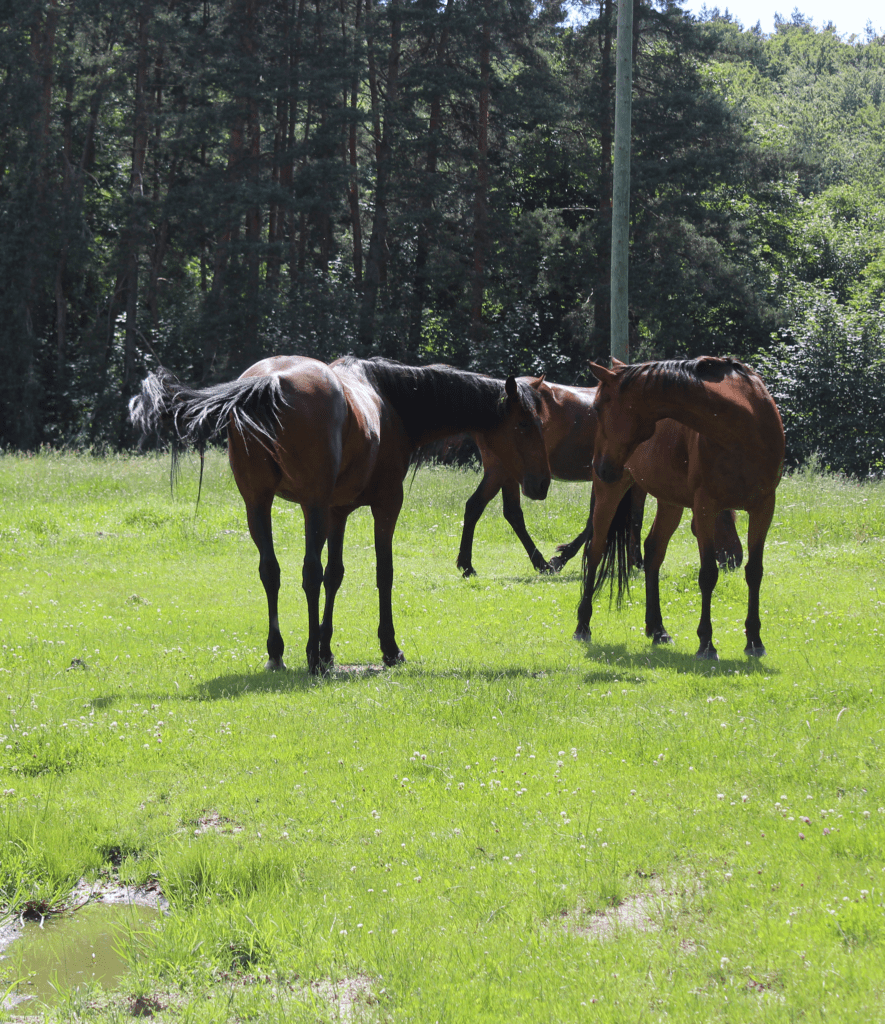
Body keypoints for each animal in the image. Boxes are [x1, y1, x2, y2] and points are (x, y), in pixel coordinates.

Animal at [128, 356, 549, 675]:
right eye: (524, 424)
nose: (542, 483)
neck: (390, 401)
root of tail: (270, 381)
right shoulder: (384, 504)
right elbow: (381, 573)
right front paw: (387, 647)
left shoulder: (337, 511)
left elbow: (335, 575)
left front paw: (329, 648)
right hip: (309, 505)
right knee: (307, 573)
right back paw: (311, 659)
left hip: (258, 504)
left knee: (271, 571)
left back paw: (278, 653)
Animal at [456, 380, 741, 581]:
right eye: (725, 521)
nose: (736, 559)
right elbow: (615, 520)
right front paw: (565, 558)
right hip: (503, 471)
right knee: (487, 508)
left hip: (509, 473)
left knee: (499, 511)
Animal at [577, 356, 786, 659]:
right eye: (594, 409)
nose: (601, 467)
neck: (743, 425)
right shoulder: (705, 507)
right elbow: (708, 574)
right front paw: (706, 642)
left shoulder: (764, 507)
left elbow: (754, 572)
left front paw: (755, 641)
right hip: (611, 492)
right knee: (595, 550)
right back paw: (582, 625)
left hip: (669, 502)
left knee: (653, 552)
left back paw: (657, 629)